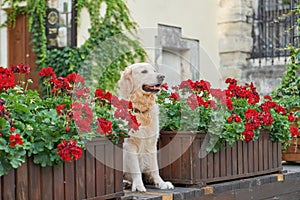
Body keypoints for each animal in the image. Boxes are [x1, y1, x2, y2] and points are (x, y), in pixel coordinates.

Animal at [117, 62, 173, 192]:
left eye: (154, 71)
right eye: (144, 72)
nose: (162, 76)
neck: (141, 110)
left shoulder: (152, 143)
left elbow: (155, 167)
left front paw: (161, 183)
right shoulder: (129, 143)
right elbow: (135, 168)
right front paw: (138, 185)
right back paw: (125, 183)